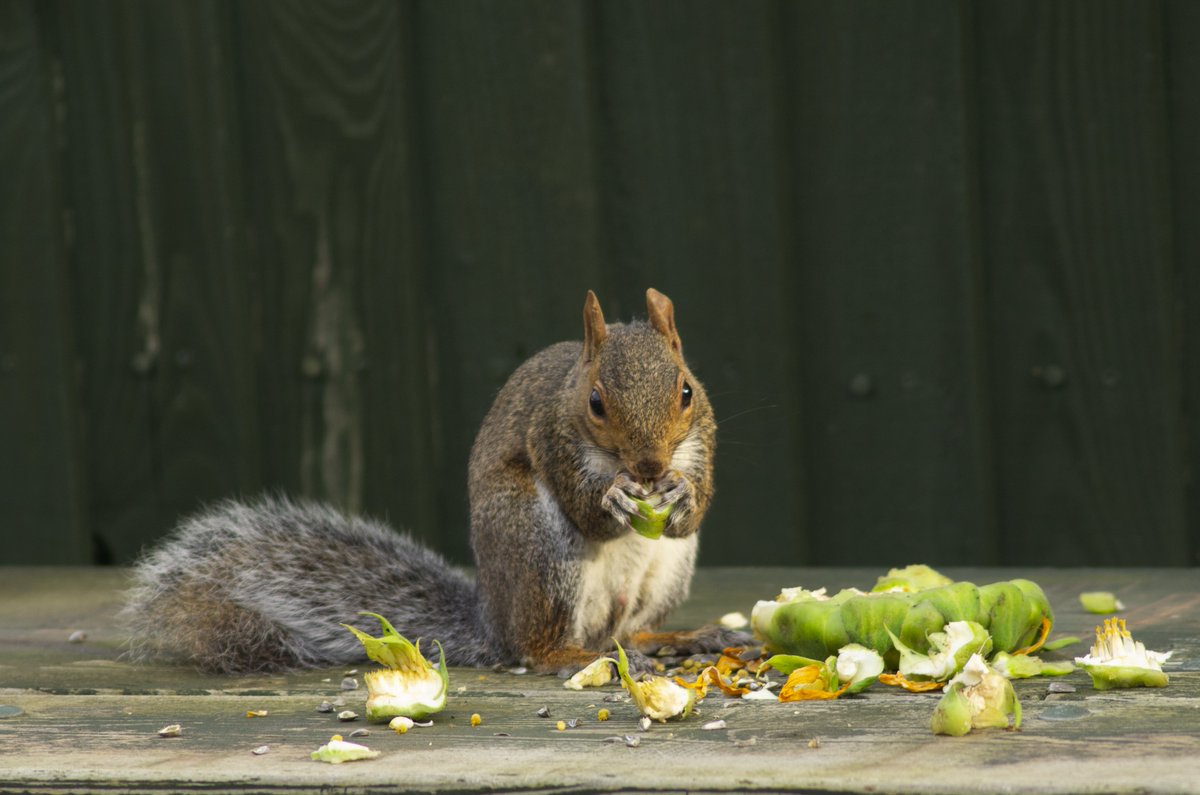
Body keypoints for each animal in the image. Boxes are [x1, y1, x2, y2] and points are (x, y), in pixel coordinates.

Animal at [123, 288, 736, 674]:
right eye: (595, 403)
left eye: (686, 390)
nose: (651, 468)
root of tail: (494, 622)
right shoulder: (552, 438)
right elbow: (586, 508)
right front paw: (613, 497)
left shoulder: (702, 438)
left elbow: (698, 507)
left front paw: (682, 494)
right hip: (540, 547)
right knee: (539, 649)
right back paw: (579, 656)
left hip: (664, 574)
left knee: (627, 631)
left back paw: (681, 637)